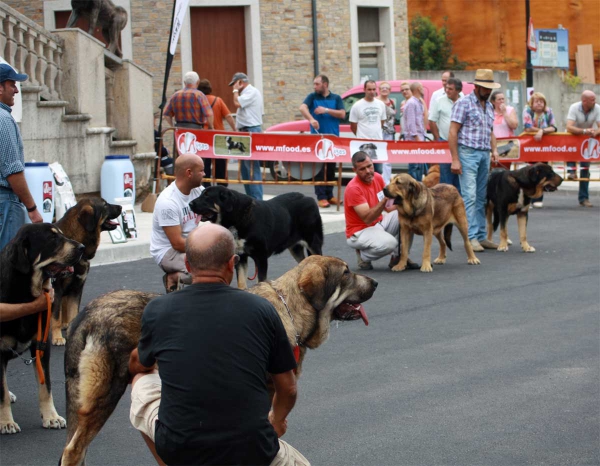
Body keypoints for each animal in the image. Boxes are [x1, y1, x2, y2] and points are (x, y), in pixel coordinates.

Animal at [51, 198, 122, 346]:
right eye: (105, 205)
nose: (121, 206)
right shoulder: (56, 289)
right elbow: (55, 317)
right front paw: (57, 337)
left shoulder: (76, 288)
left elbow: (73, 313)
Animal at [61, 256, 378, 464]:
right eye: (347, 273)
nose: (375, 283)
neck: (290, 308)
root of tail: (87, 314)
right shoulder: (271, 393)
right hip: (105, 394)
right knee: (73, 450)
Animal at [191, 186, 324, 288]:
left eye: (207, 196)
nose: (190, 203)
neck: (237, 218)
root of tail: (310, 199)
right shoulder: (240, 257)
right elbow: (241, 283)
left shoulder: (261, 258)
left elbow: (261, 281)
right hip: (295, 248)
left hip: (313, 244)